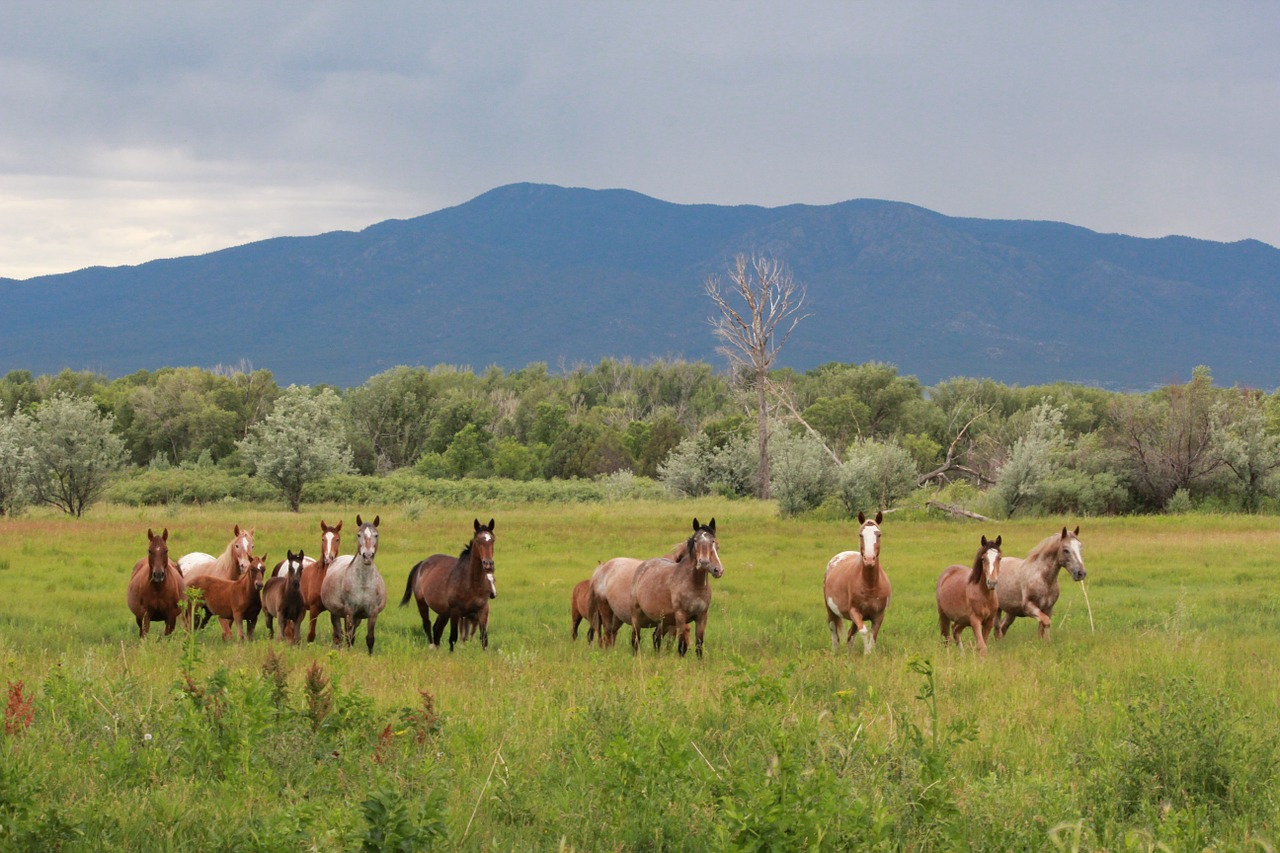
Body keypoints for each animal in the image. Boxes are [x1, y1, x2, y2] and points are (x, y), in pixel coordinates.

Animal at [320, 512, 384, 650]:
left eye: (376, 535)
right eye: (358, 534)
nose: (367, 556)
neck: (364, 583)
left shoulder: (373, 612)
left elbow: (369, 639)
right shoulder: (350, 611)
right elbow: (348, 638)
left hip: (357, 618)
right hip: (336, 614)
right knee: (339, 635)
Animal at [401, 514, 496, 648]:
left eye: (492, 540)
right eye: (478, 540)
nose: (488, 564)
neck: (471, 583)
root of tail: (422, 563)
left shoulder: (482, 611)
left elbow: (484, 639)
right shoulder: (456, 612)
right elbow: (453, 638)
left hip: (443, 612)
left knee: (437, 629)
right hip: (422, 604)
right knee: (427, 624)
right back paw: (432, 647)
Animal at [627, 514, 721, 653]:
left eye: (714, 542)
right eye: (696, 540)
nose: (704, 563)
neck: (696, 586)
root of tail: (643, 566)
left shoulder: (702, 617)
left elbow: (699, 645)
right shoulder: (681, 617)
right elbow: (682, 646)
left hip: (663, 620)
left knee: (656, 637)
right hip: (636, 616)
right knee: (636, 640)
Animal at [824, 507, 896, 653]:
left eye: (878, 534)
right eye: (861, 535)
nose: (869, 559)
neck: (871, 585)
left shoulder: (879, 615)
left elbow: (873, 636)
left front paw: (870, 653)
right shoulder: (855, 612)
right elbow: (864, 631)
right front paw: (866, 653)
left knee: (850, 635)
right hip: (831, 610)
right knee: (834, 632)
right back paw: (836, 653)